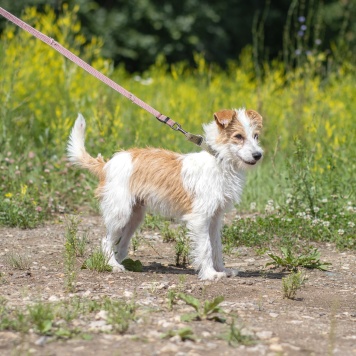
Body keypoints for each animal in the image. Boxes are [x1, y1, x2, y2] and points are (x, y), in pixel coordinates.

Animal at [67, 107, 262, 280]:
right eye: (238, 136)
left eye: (256, 136)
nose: (258, 155)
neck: (220, 160)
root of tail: (107, 164)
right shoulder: (200, 218)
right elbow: (206, 247)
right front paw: (209, 274)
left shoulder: (215, 219)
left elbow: (216, 247)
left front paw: (222, 269)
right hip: (120, 213)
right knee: (105, 241)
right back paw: (112, 265)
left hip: (134, 218)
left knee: (121, 244)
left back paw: (119, 262)